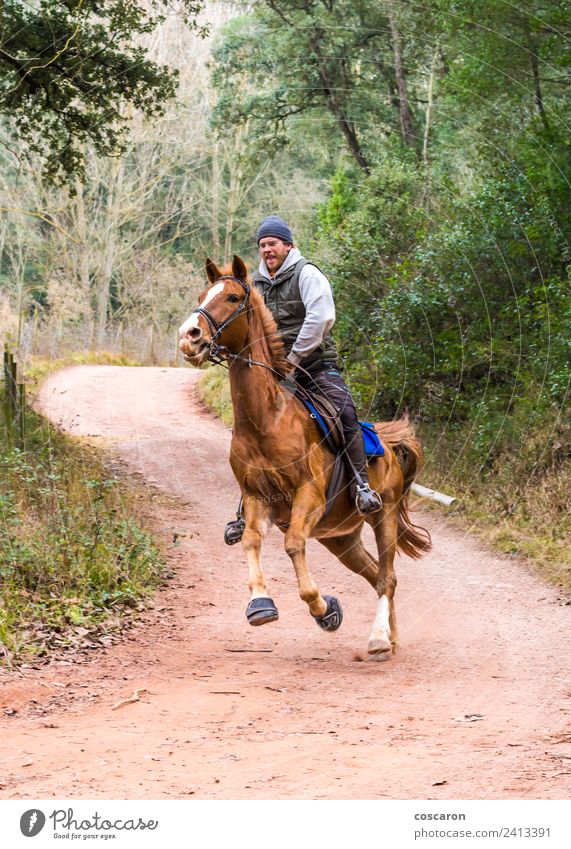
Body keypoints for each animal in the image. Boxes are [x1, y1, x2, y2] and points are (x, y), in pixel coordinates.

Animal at [179, 255, 428, 660]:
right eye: (203, 296)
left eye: (232, 297)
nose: (189, 336)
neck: (266, 420)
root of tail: (390, 446)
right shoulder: (256, 497)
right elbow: (250, 541)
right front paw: (261, 605)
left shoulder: (307, 496)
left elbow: (294, 545)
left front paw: (324, 610)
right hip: (341, 538)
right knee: (374, 574)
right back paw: (390, 637)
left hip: (384, 515)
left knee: (387, 577)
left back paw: (378, 638)